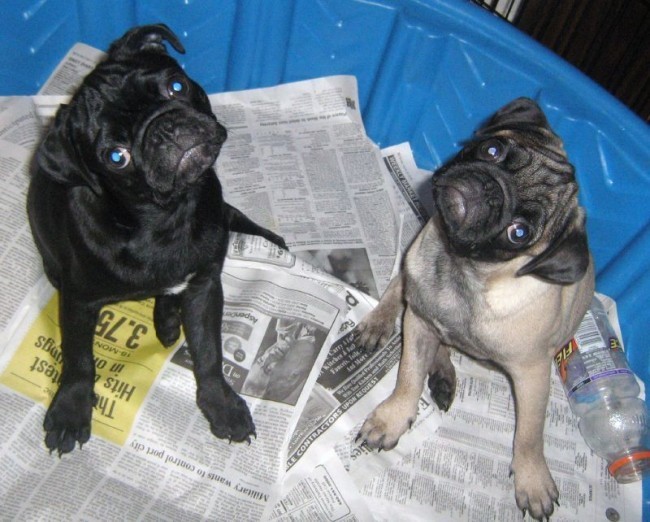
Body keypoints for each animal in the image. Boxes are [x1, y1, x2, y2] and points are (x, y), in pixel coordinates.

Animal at [27, 26, 286, 452]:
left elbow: (209, 353)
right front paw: (70, 411)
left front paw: (221, 404)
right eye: (116, 157)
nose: (164, 127)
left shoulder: (204, 288)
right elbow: (79, 360)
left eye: (176, 86)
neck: (167, 216)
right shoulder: (79, 303)